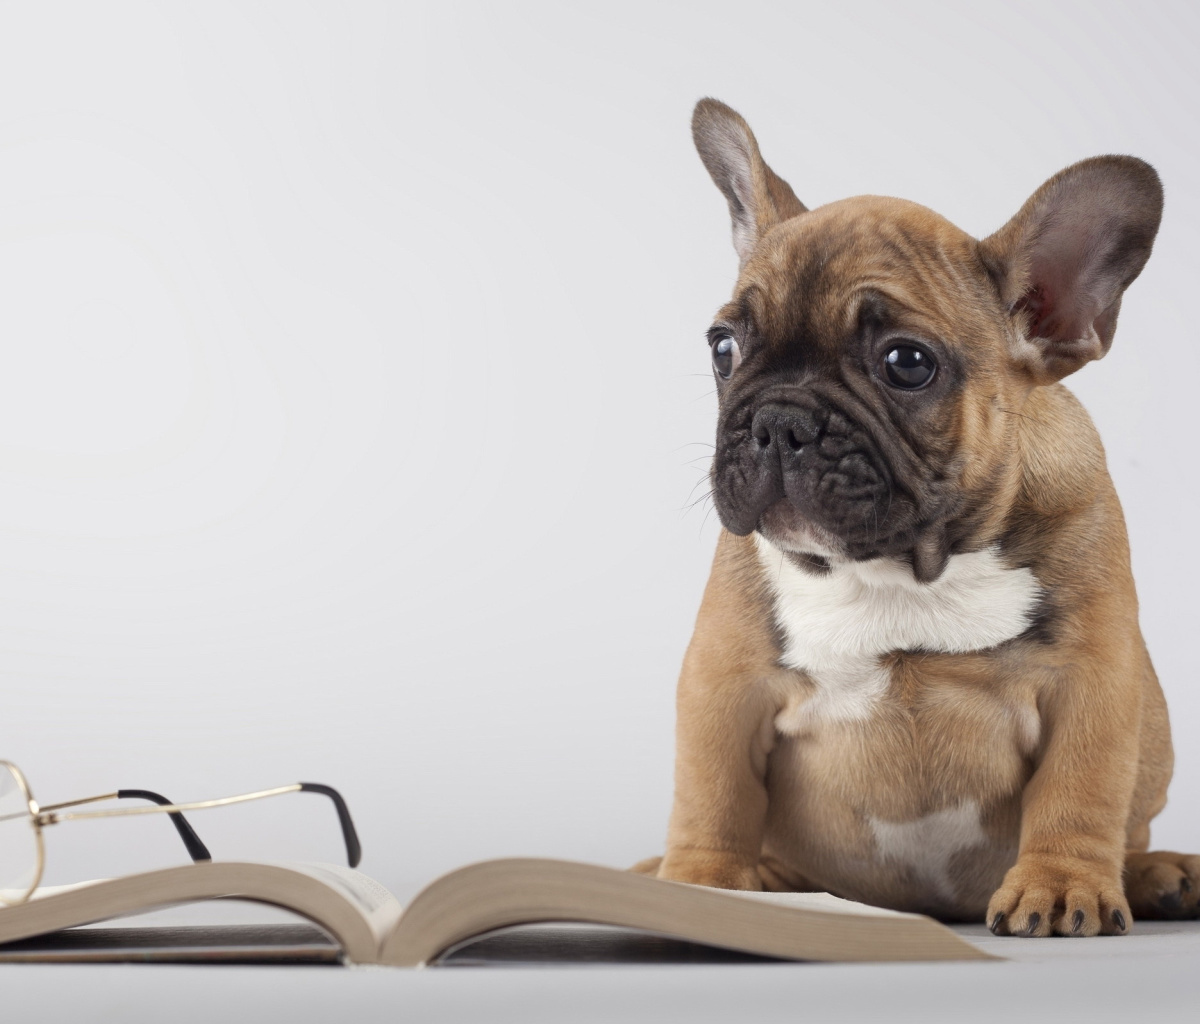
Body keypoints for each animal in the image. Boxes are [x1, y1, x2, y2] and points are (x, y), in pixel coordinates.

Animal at [648, 97, 1200, 936]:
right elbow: (712, 794)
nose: (778, 420)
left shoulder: (1091, 681)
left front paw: (1059, 885)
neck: (903, 567)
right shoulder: (725, 678)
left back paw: (1158, 872)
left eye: (907, 364)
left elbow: (1078, 792)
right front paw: (703, 888)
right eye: (723, 348)